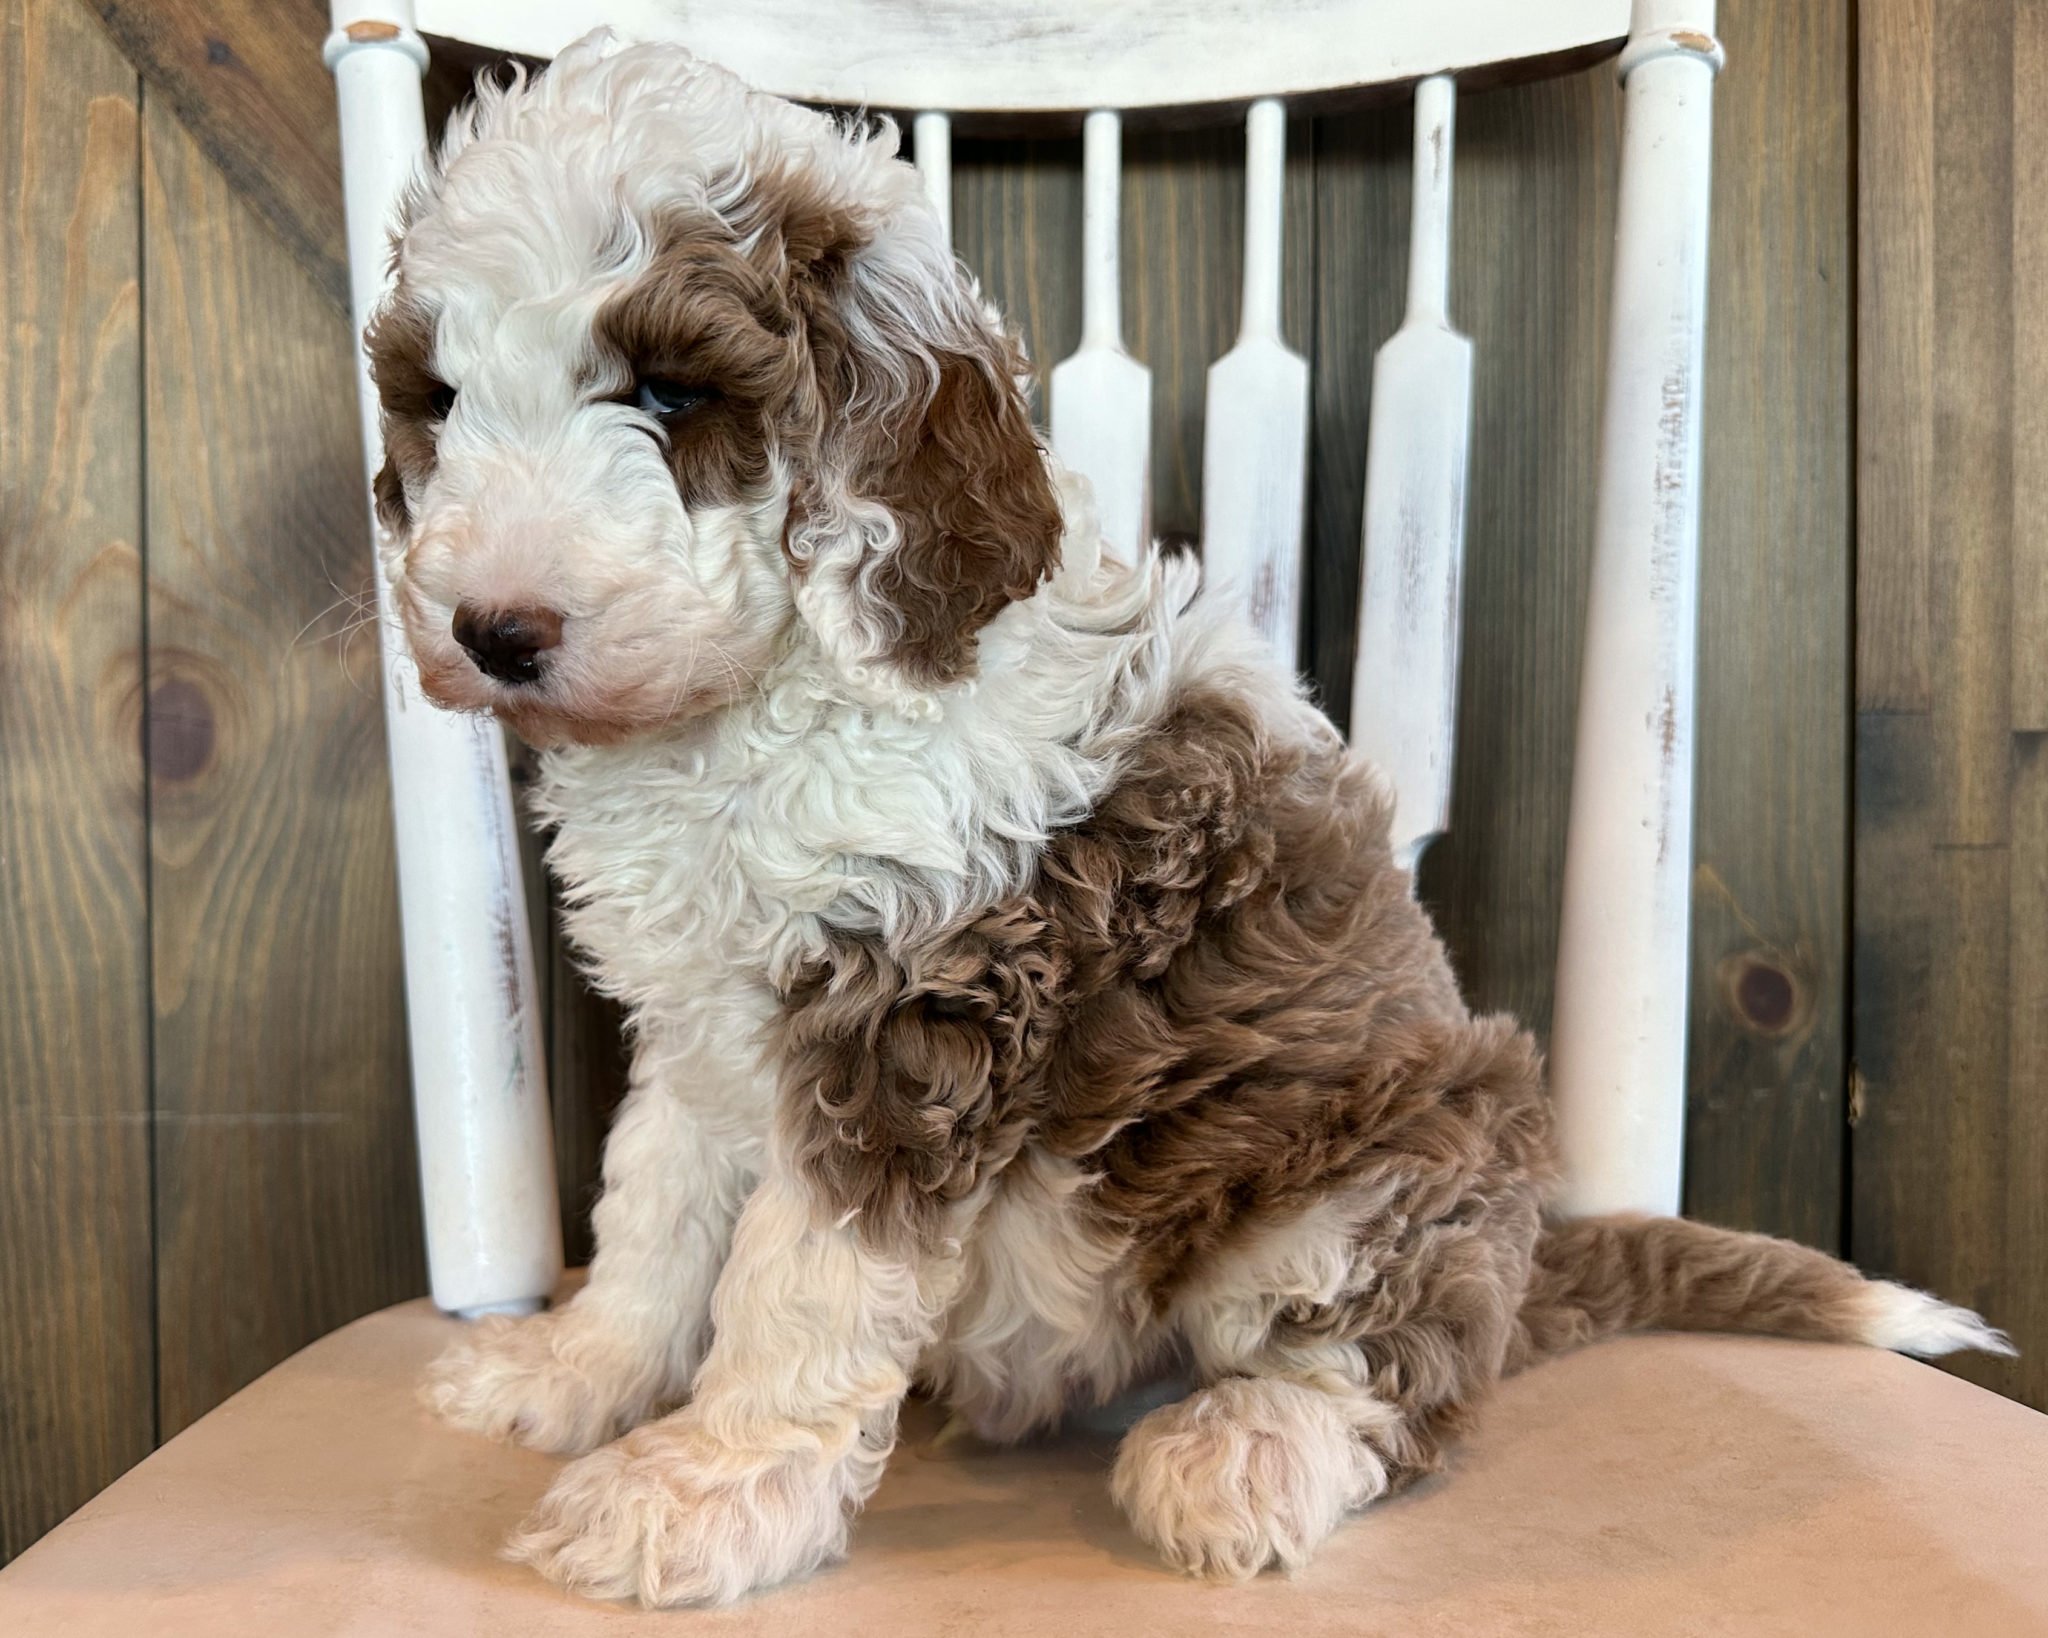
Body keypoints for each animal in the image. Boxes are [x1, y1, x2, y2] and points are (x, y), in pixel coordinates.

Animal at [372, 35, 2015, 1613]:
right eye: (438, 399)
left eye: (667, 391)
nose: (493, 630)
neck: (759, 701)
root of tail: (1527, 1252)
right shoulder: (705, 1027)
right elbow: (653, 1215)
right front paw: (573, 1377)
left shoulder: (910, 1024)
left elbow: (796, 1286)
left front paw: (702, 1493)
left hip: (1375, 1174)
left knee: (1394, 1374)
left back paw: (1245, 1449)